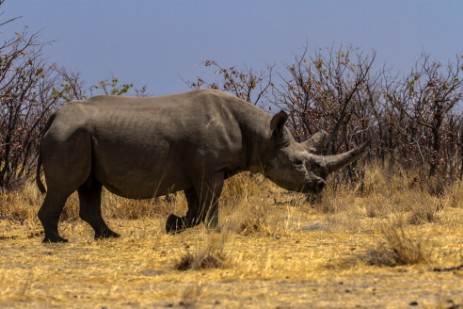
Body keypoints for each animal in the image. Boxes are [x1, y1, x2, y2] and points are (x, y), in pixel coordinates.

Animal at [35, 88, 370, 242]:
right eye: (299, 162)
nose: (320, 185)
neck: (263, 134)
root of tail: (53, 116)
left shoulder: (196, 170)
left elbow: (197, 204)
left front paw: (174, 224)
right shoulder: (210, 168)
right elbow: (211, 201)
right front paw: (213, 230)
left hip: (80, 135)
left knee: (89, 185)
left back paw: (110, 236)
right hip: (69, 135)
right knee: (65, 186)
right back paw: (58, 240)